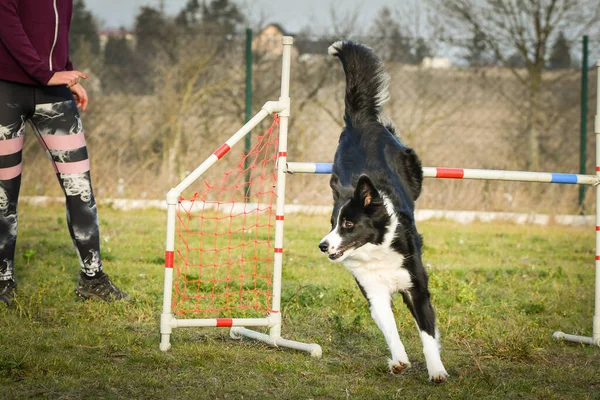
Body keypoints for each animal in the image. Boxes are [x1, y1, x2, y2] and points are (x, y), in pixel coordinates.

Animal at [322, 41, 448, 384]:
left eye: (348, 223)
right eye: (332, 222)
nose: (323, 245)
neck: (377, 249)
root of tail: (359, 119)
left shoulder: (416, 287)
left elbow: (427, 334)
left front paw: (437, 370)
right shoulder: (374, 292)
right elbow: (390, 329)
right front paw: (399, 361)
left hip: (412, 169)